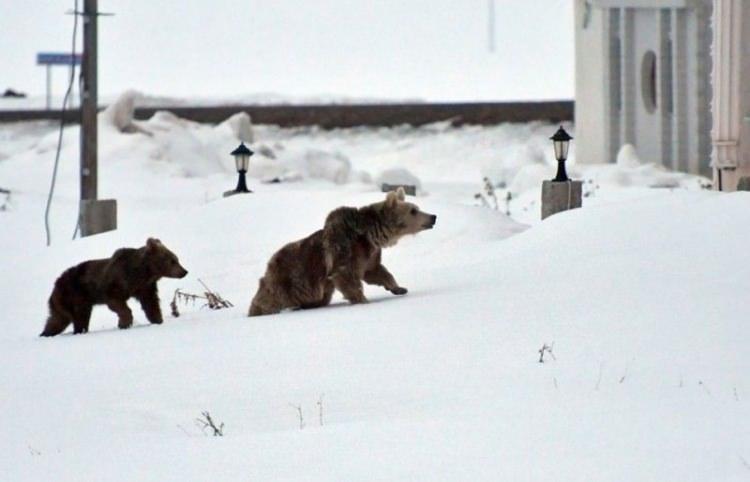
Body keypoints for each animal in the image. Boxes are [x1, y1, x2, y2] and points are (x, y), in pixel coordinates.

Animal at [39, 236, 189, 336]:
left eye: (177, 259)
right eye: (172, 260)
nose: (184, 271)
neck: (143, 273)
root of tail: (55, 284)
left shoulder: (145, 287)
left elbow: (151, 303)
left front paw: (157, 320)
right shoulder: (116, 283)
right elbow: (117, 303)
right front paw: (125, 323)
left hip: (66, 301)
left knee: (57, 319)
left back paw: (46, 333)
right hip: (75, 294)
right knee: (78, 316)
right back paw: (78, 331)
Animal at [250, 187, 438, 316]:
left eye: (416, 207)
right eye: (413, 210)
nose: (433, 217)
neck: (369, 235)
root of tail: (271, 260)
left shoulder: (368, 254)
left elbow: (376, 271)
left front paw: (399, 288)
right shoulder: (344, 248)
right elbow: (347, 276)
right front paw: (363, 300)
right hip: (292, 278)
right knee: (270, 297)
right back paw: (258, 311)